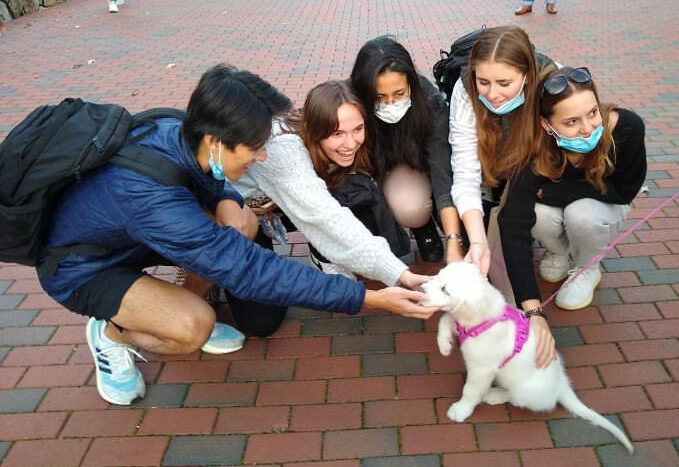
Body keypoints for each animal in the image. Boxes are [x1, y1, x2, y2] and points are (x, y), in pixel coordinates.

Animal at [422, 262, 636, 456]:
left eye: (444, 289)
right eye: (438, 275)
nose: (420, 289)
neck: (483, 318)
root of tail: (561, 384)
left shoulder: (482, 369)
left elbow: (470, 390)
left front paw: (461, 409)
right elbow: (446, 319)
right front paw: (444, 344)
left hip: (525, 390)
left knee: (516, 398)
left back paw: (494, 395)